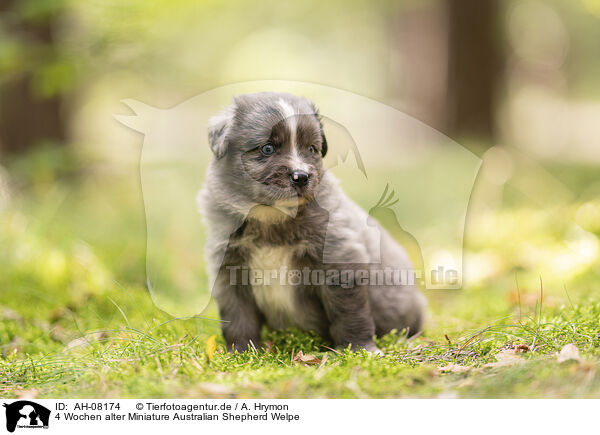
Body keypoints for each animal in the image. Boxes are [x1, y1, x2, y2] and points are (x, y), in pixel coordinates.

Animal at [199, 92, 424, 354]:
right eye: (267, 148)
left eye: (311, 148)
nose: (301, 177)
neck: (272, 217)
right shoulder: (229, 267)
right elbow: (238, 315)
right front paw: (242, 351)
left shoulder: (339, 256)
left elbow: (349, 312)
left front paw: (360, 348)